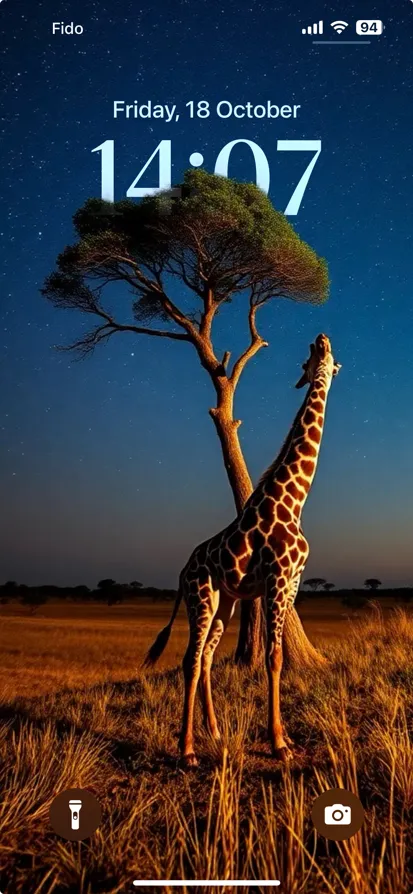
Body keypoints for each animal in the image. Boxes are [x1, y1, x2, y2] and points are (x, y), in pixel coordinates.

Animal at [143, 332, 340, 768]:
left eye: (328, 359)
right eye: (310, 360)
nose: (321, 338)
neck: (294, 500)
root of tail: (182, 570)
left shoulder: (293, 581)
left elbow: (275, 655)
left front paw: (281, 737)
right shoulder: (278, 579)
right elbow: (274, 656)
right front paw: (279, 743)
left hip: (225, 602)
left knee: (207, 657)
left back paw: (214, 730)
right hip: (200, 596)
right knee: (190, 658)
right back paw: (187, 749)